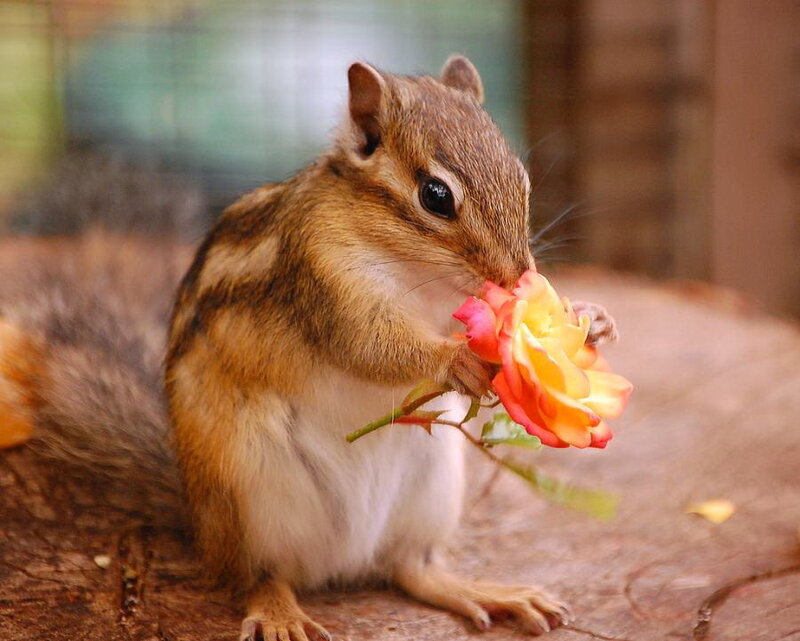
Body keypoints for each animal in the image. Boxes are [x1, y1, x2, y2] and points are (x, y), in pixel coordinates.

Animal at [0, 56, 617, 639]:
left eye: (522, 180)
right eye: (436, 196)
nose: (516, 277)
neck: (418, 273)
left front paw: (590, 319)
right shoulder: (324, 278)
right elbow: (371, 346)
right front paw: (459, 359)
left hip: (432, 490)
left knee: (413, 569)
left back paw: (488, 592)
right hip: (246, 494)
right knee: (256, 576)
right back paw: (280, 614)